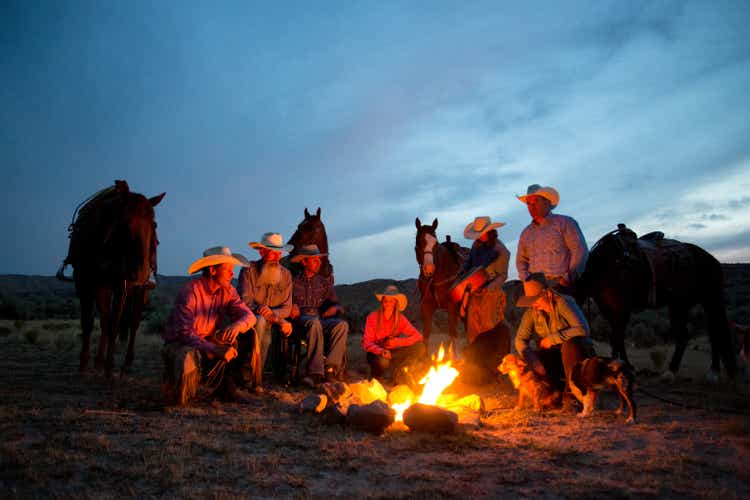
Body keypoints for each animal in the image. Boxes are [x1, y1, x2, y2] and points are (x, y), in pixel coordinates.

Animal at [64, 182, 164, 376]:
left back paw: (127, 363)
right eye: (124, 224)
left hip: (139, 292)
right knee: (105, 318)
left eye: (154, 225)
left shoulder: (121, 286)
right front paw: (86, 363)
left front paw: (109, 367)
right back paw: (98, 362)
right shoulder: (85, 284)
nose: (141, 272)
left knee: (133, 322)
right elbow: (90, 323)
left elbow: (115, 324)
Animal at [414, 219, 468, 356]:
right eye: (418, 241)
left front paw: (453, 357)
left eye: (436, 243)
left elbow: (452, 333)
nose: (429, 269)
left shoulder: (452, 306)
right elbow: (426, 333)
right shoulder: (426, 306)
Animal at [580, 223, 736, 378]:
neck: (604, 264)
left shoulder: (622, 307)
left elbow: (617, 336)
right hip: (681, 304)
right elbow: (615, 336)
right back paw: (675, 370)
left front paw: (626, 366)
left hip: (709, 300)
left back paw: (711, 371)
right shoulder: (607, 306)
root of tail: (711, 259)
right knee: (693, 334)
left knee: (713, 332)